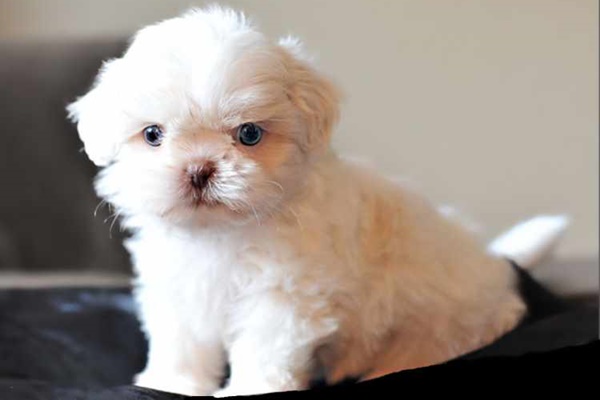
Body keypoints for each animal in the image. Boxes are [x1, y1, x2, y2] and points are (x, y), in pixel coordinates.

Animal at [68, 6, 564, 396]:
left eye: (249, 134)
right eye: (153, 135)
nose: (199, 169)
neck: (221, 233)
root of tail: (496, 268)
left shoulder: (284, 293)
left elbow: (264, 346)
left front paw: (249, 390)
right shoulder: (178, 288)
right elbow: (180, 342)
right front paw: (169, 384)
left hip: (441, 328)